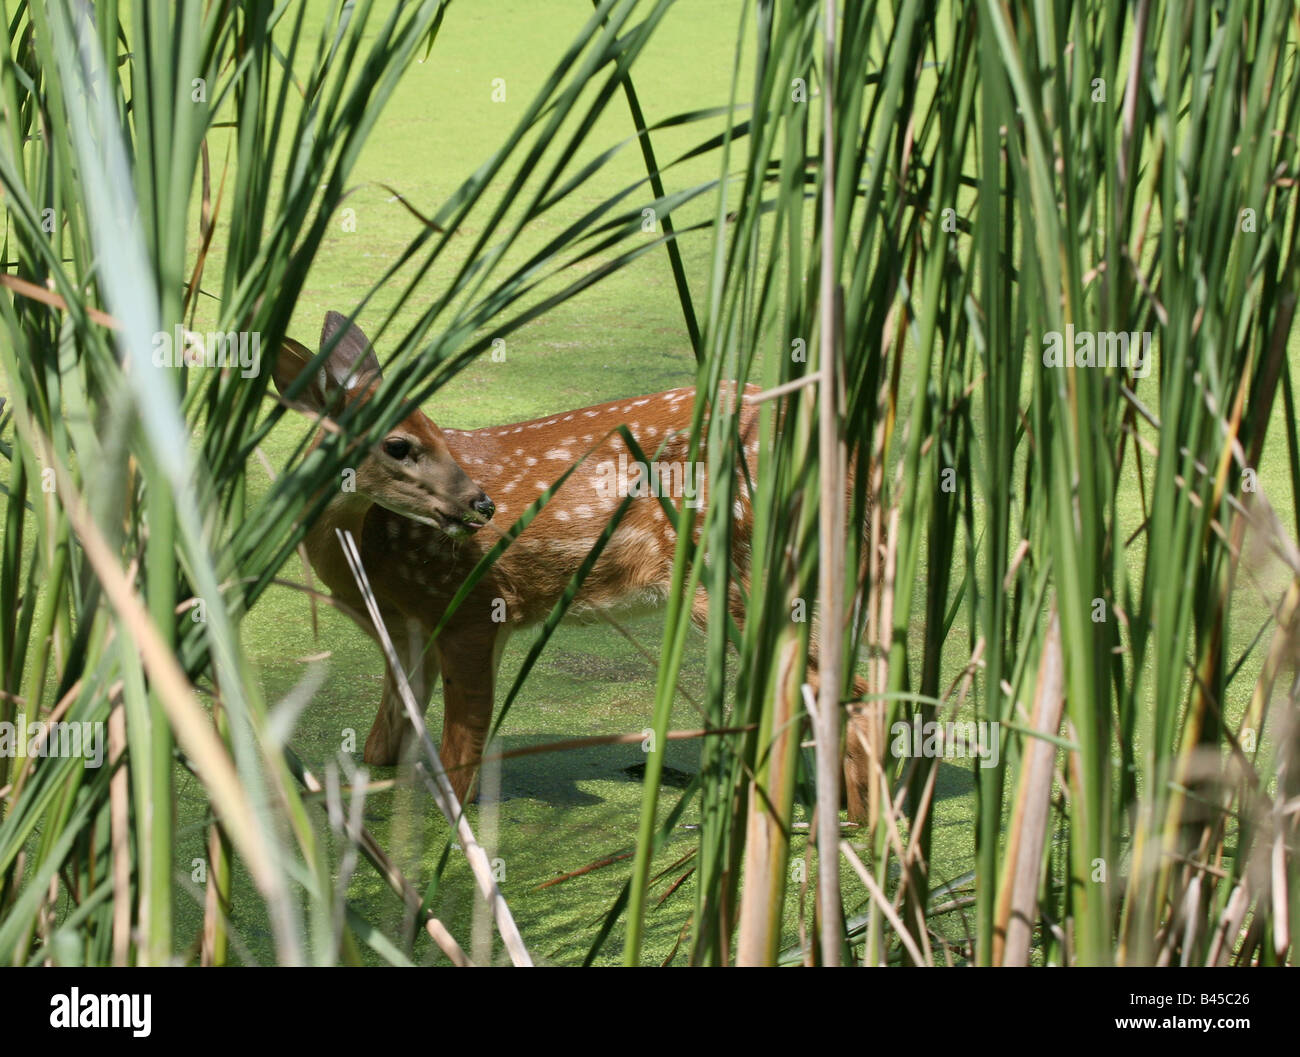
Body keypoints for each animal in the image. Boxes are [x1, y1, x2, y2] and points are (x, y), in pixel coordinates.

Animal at [271, 310, 873, 816]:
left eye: (440, 431)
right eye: (399, 445)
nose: (482, 505)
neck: (366, 564)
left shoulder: (470, 604)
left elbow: (463, 751)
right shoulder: (404, 631)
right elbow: (384, 744)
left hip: (738, 572)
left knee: (854, 694)